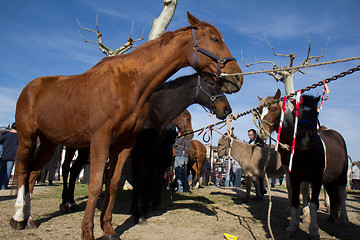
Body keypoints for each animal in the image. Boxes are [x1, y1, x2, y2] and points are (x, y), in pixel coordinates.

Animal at [11, 12, 243, 240]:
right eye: (215, 39)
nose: (237, 78)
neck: (127, 84)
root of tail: (31, 87)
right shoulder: (103, 140)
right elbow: (98, 183)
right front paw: (89, 231)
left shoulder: (126, 143)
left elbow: (114, 182)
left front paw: (109, 229)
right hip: (28, 138)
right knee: (27, 170)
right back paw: (20, 217)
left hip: (49, 143)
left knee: (34, 173)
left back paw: (30, 218)